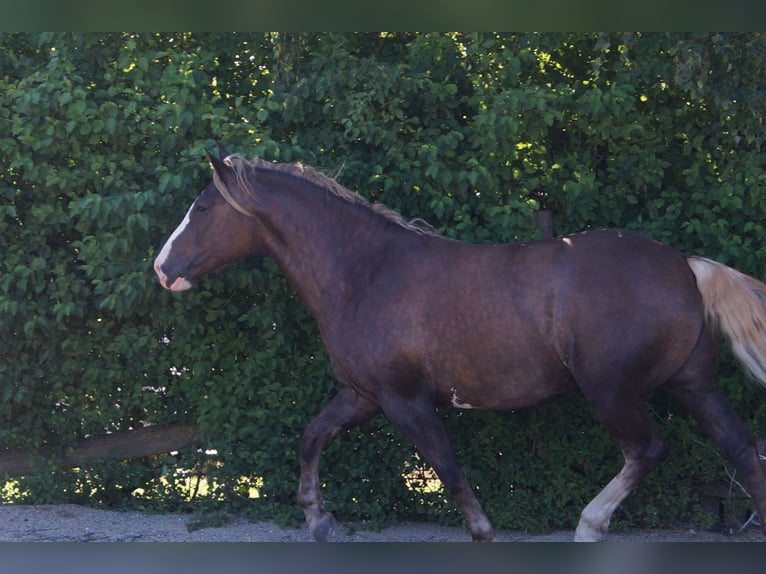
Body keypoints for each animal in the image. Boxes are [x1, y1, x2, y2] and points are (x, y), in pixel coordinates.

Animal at [154, 144, 766, 542]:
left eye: (202, 208)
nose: (162, 268)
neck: (368, 271)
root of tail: (685, 267)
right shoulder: (363, 394)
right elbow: (312, 436)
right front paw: (319, 519)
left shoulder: (405, 401)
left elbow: (448, 470)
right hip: (693, 383)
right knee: (743, 450)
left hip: (613, 393)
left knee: (648, 451)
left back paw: (590, 525)